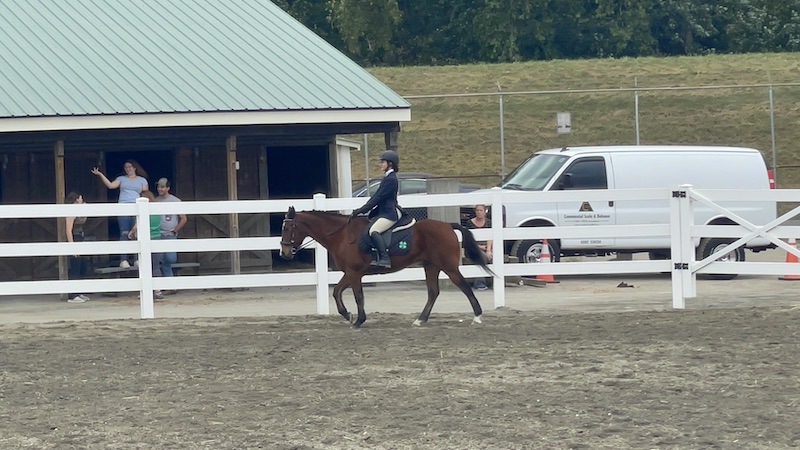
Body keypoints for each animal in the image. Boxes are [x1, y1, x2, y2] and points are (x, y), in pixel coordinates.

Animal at [280, 207, 494, 326]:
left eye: (288, 227)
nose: (284, 253)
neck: (342, 236)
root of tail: (448, 225)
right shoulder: (350, 273)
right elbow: (336, 292)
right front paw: (348, 315)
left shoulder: (354, 273)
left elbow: (358, 296)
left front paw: (359, 320)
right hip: (431, 266)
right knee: (433, 292)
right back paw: (420, 319)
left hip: (448, 267)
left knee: (464, 287)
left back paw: (477, 317)